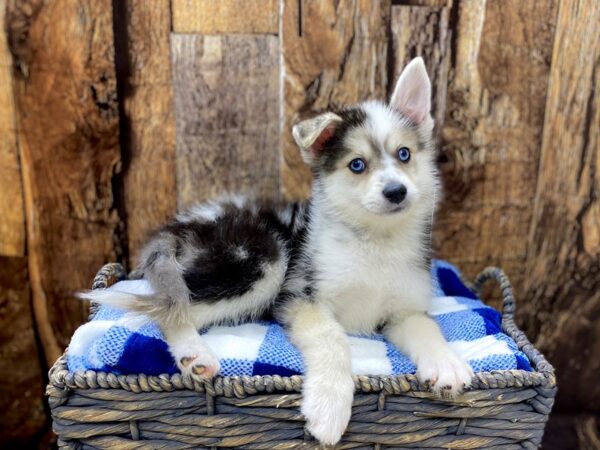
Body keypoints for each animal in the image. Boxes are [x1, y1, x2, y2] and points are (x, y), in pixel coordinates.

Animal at [81, 58, 474, 444]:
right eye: (357, 164)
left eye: (404, 154)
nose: (396, 192)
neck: (374, 241)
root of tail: (182, 224)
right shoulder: (301, 296)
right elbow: (333, 339)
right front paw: (329, 408)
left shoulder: (403, 310)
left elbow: (426, 328)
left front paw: (446, 363)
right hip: (262, 259)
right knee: (168, 311)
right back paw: (196, 354)